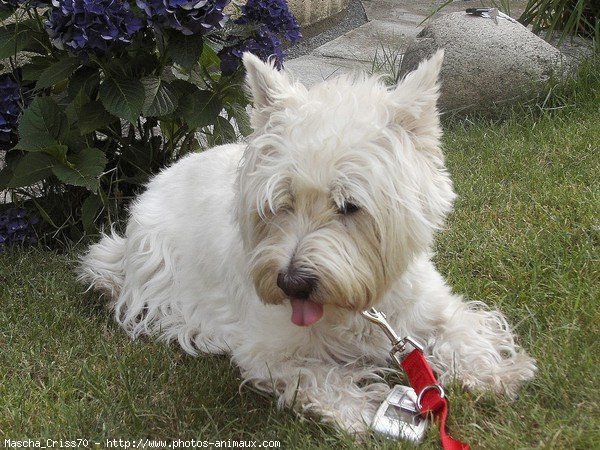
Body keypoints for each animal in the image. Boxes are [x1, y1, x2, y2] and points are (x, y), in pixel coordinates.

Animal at [78, 51, 536, 434]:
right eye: (281, 203)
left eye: (350, 205)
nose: (291, 284)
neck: (357, 310)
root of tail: (159, 176)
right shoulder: (267, 350)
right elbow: (318, 374)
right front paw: (366, 411)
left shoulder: (429, 306)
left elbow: (462, 331)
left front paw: (497, 373)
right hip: (152, 263)